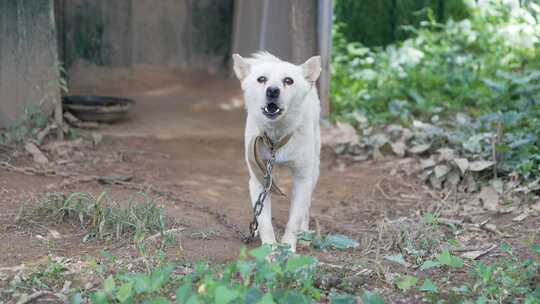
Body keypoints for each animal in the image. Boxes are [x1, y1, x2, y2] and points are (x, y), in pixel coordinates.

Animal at [232, 51, 320, 252]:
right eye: (261, 79)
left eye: (288, 80)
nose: (272, 90)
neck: (276, 138)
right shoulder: (259, 179)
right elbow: (264, 220)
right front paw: (269, 249)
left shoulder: (302, 179)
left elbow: (294, 220)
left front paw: (288, 249)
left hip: (314, 172)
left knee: (307, 208)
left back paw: (305, 235)